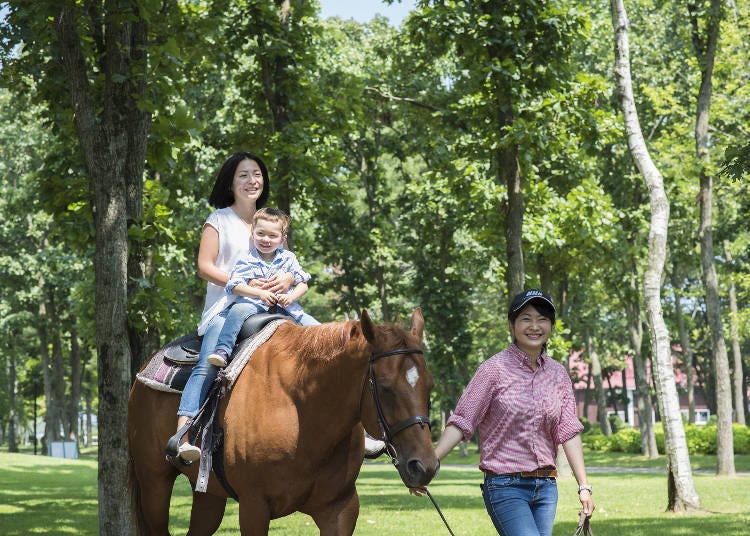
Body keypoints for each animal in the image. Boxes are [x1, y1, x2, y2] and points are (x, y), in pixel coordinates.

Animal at [126, 308, 438, 532]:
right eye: (385, 387)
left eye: (429, 386)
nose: (424, 466)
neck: (303, 412)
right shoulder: (254, 507)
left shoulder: (341, 509)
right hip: (154, 483)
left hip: (208, 493)